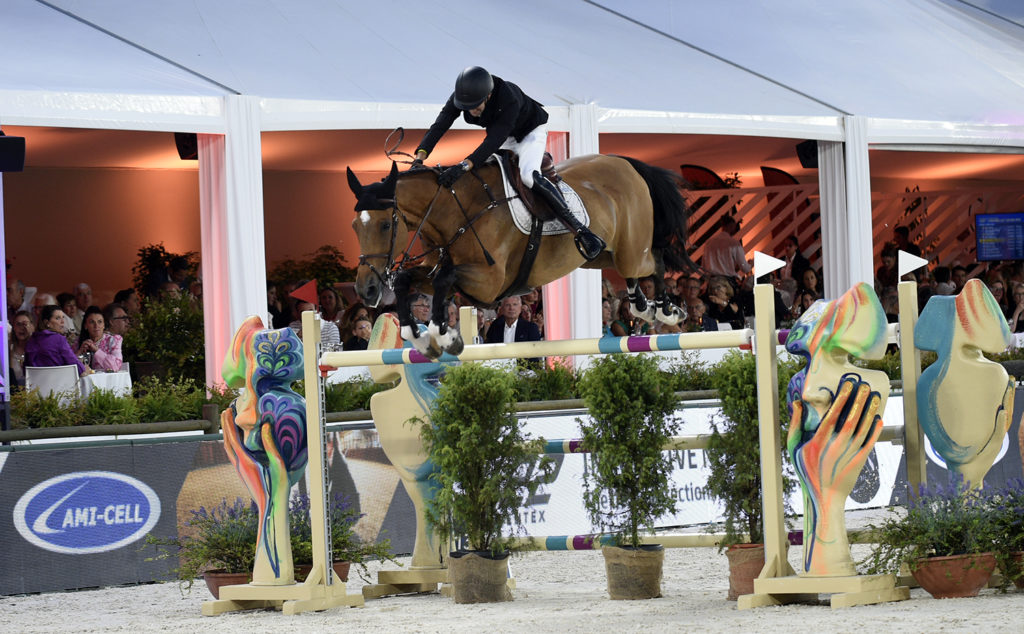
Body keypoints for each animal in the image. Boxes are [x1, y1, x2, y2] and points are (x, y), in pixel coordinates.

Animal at [346, 151, 696, 354]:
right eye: (353, 226)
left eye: (384, 226)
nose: (367, 290)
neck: (452, 214)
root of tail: (626, 163)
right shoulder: (437, 273)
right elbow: (408, 280)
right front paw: (416, 335)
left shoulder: (489, 282)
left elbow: (445, 279)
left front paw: (444, 337)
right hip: (598, 256)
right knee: (634, 272)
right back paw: (644, 307)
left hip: (630, 249)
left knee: (655, 261)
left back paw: (667, 310)